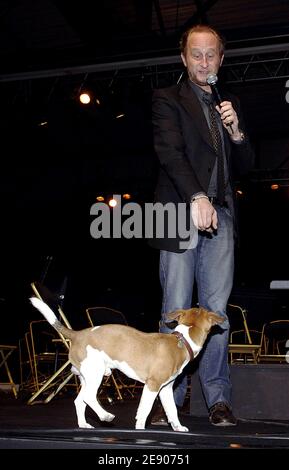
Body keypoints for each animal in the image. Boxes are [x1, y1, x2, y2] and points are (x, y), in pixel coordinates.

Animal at [29, 298, 223, 434]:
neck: (182, 340)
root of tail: (77, 334)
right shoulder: (152, 386)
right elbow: (144, 410)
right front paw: (140, 430)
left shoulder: (166, 389)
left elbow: (172, 410)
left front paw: (177, 427)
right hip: (96, 374)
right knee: (89, 397)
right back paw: (105, 416)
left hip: (87, 377)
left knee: (80, 400)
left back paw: (83, 424)